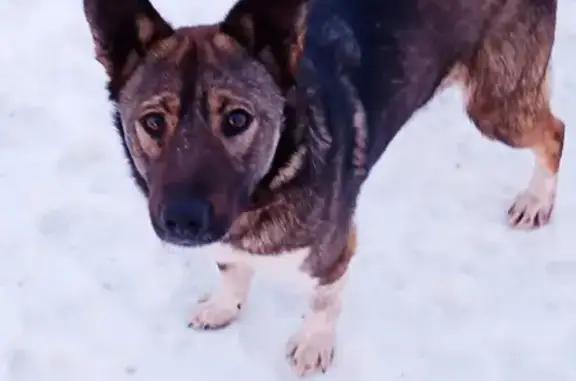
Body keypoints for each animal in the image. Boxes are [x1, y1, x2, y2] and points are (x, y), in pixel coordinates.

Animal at [83, 0, 564, 376]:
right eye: (153, 122)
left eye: (237, 119)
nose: (183, 220)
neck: (269, 184)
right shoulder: (228, 238)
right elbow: (232, 268)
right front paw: (224, 305)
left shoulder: (335, 249)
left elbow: (323, 300)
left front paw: (314, 344)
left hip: (497, 103)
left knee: (555, 133)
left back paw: (536, 200)